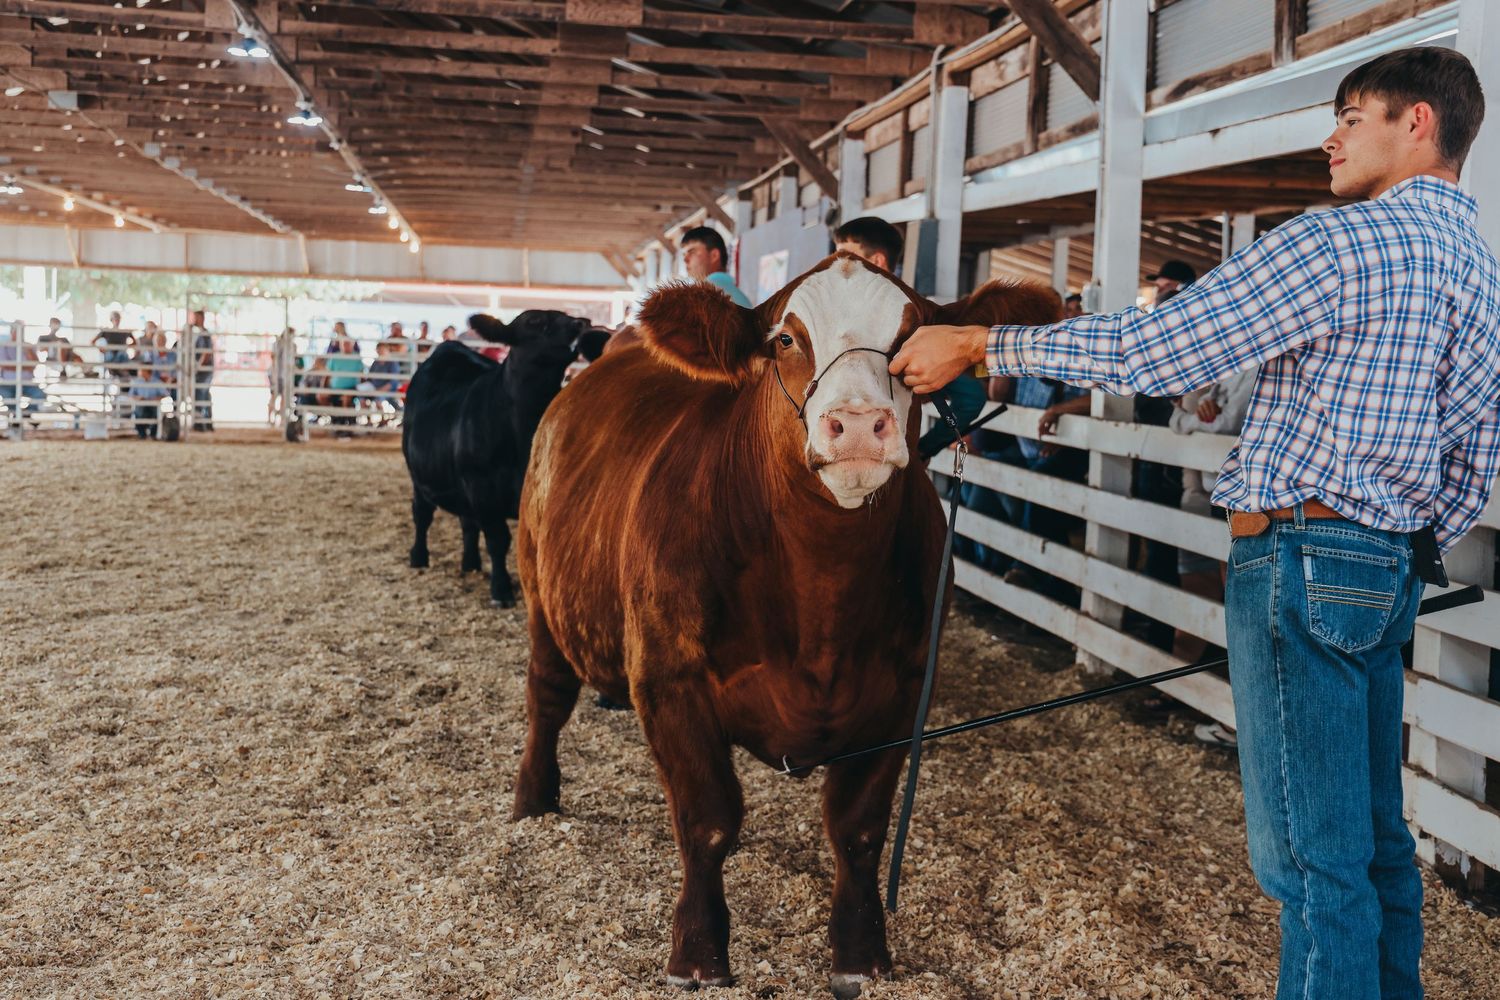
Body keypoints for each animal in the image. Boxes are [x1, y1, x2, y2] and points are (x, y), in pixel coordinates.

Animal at [402, 310, 606, 607]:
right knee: (422, 514)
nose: (583, 323)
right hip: (420, 477)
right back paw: (419, 557)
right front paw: (501, 590)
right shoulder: (484, 492)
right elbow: (498, 541)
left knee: (467, 522)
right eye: (534, 321)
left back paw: (471, 563)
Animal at [511, 253, 1062, 995]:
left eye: (913, 338)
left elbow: (859, 830)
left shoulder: (903, 690)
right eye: (785, 339)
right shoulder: (668, 678)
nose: (856, 425)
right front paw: (698, 955)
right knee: (547, 695)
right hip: (541, 588)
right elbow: (708, 820)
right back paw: (533, 800)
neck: (819, 590)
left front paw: (861, 953)